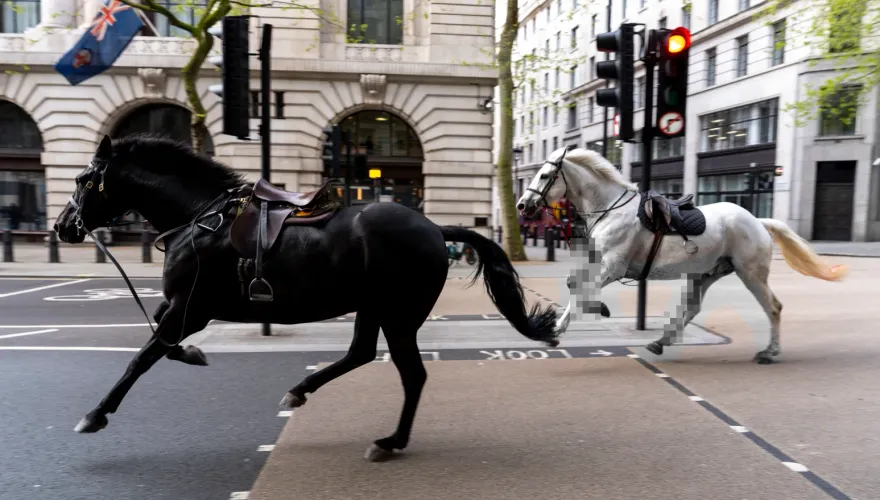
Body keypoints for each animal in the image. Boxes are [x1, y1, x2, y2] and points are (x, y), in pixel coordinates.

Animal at [52, 134, 559, 461]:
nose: (61, 227)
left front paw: (95, 414)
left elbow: (143, 356)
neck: (199, 218)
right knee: (360, 353)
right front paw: (195, 355)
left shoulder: (190, 308)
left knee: (411, 374)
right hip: (373, 308)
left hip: (398, 315)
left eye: (82, 179)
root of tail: (435, 228)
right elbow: (161, 341)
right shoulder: (181, 308)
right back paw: (301, 391)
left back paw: (390, 441)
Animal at [516, 146, 848, 364]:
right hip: (704, 274)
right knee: (692, 309)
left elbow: (583, 291)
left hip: (750, 273)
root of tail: (758, 221)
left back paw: (770, 352)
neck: (610, 209)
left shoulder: (615, 266)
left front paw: (556, 329)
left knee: (773, 307)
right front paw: (582, 315)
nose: (521, 205)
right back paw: (660, 342)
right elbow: (574, 283)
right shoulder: (599, 260)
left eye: (545, 175)